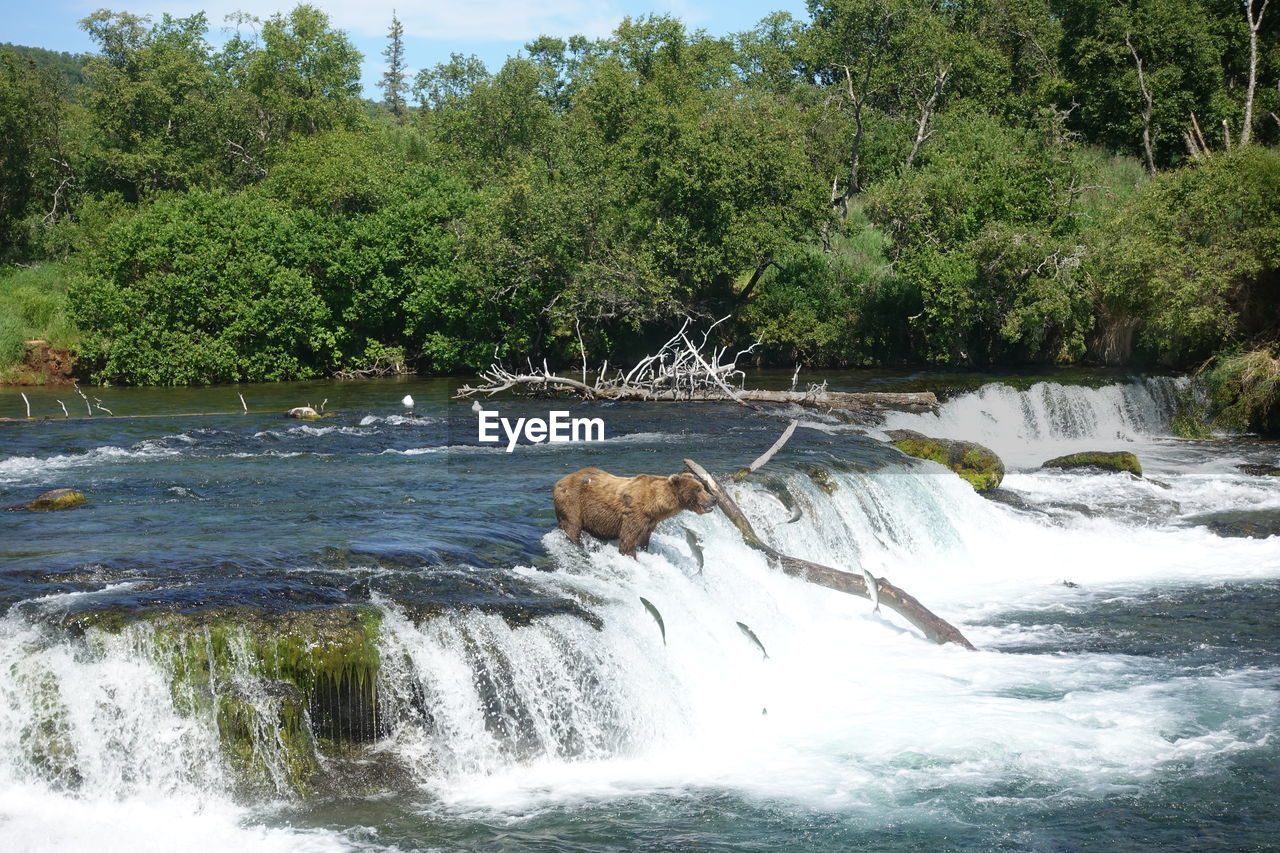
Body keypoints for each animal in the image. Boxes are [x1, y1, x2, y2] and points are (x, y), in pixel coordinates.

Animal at [552, 468, 721, 555]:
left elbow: (643, 539)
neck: (656, 504)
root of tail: (558, 482)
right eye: (698, 489)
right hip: (573, 501)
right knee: (572, 525)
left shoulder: (650, 522)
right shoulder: (635, 514)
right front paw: (630, 555)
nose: (714, 499)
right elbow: (628, 539)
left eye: (702, 487)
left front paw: (643, 550)